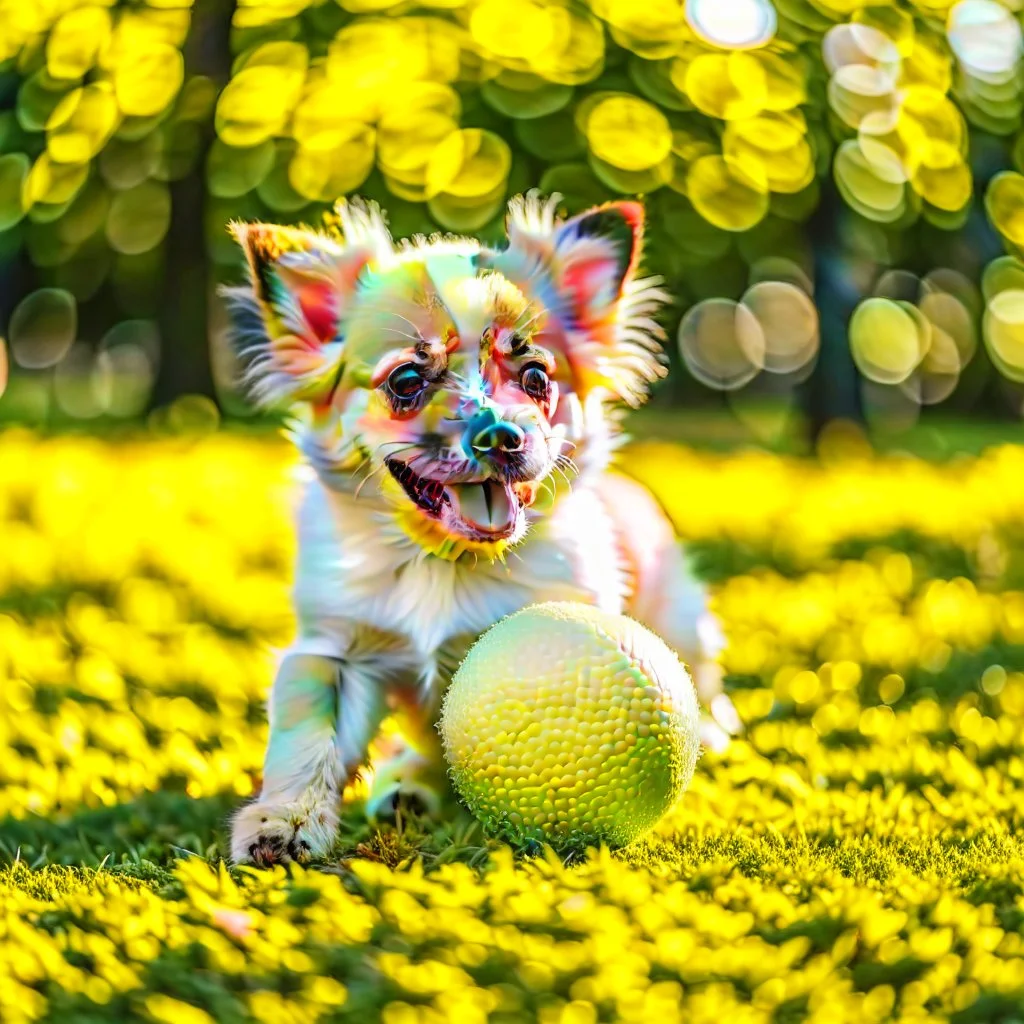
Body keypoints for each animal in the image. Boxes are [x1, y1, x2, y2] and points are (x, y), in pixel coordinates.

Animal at [224, 193, 737, 864]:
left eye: (537, 378)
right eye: (406, 382)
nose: (501, 433)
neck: (441, 561)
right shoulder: (332, 646)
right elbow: (308, 735)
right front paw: (283, 820)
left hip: (682, 619)